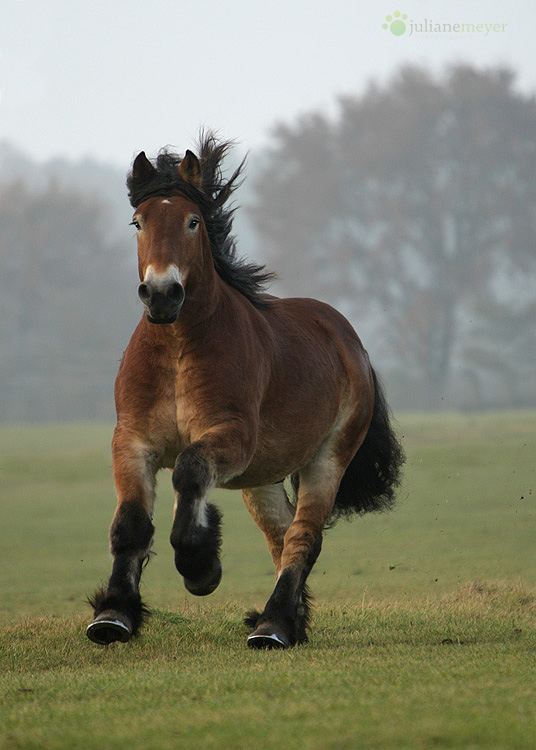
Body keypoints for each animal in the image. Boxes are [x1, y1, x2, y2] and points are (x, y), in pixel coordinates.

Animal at [87, 132, 402, 648]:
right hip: (262, 478)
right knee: (280, 535)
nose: (162, 294)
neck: (177, 349)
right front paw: (113, 615)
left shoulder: (230, 435)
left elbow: (190, 471)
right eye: (138, 222)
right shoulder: (132, 441)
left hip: (326, 460)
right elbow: (130, 523)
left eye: (193, 221)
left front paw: (201, 566)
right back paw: (288, 622)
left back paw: (272, 626)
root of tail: (346, 337)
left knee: (302, 537)